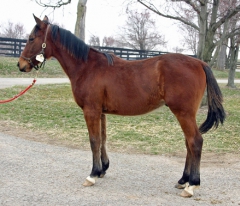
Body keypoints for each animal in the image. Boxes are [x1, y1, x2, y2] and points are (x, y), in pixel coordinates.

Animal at [17, 14, 225, 198]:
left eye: (31, 38)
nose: (20, 65)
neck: (87, 67)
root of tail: (199, 62)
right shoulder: (100, 112)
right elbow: (102, 139)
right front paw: (102, 169)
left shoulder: (91, 111)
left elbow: (94, 140)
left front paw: (92, 175)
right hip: (186, 114)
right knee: (189, 142)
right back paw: (183, 180)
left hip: (183, 113)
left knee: (195, 141)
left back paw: (192, 185)